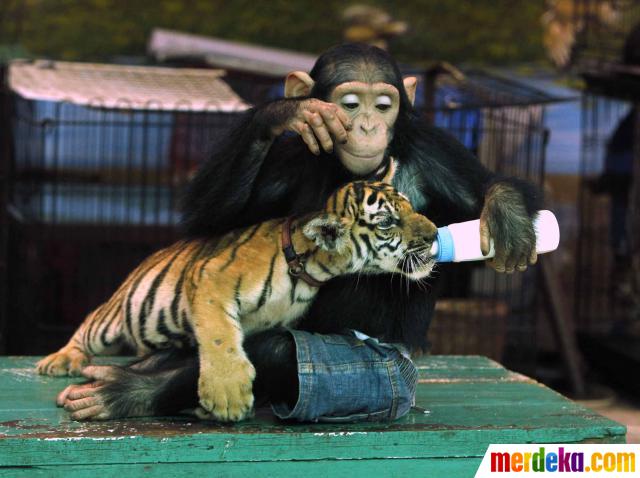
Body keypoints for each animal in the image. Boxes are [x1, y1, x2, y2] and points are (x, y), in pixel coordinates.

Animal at [56, 43, 540, 420]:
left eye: (384, 105)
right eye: (351, 104)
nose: (369, 125)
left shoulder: (434, 149)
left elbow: (482, 186)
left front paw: (508, 217)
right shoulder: (282, 163)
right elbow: (211, 221)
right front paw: (287, 111)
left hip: (387, 374)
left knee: (279, 352)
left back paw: (129, 390)